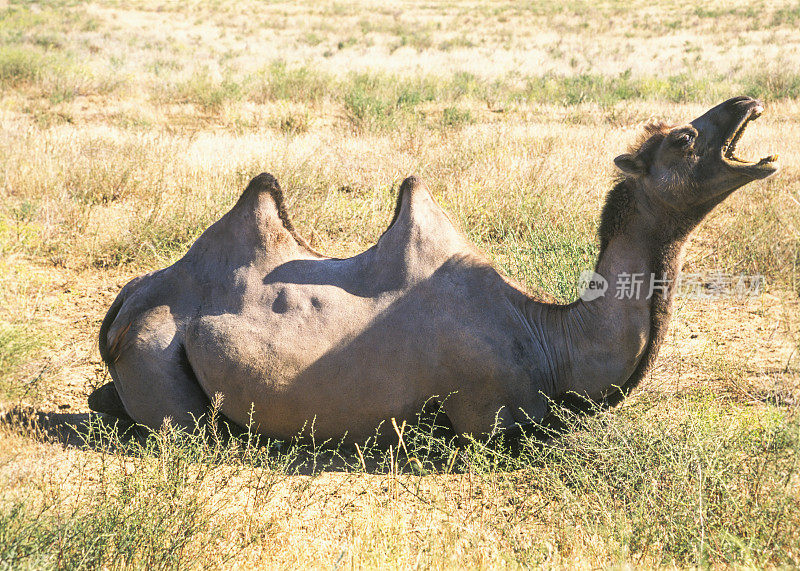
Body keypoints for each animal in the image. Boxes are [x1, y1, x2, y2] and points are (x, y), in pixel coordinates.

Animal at [90, 96, 780, 442]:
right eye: (683, 140)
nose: (746, 100)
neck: (551, 337)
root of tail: (127, 302)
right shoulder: (488, 417)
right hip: (157, 353)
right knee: (188, 430)